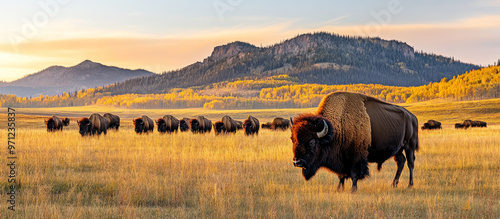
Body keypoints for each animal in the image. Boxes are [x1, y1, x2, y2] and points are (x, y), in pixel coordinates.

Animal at [292, 92, 420, 192]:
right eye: (293, 140)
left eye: (312, 142)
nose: (297, 162)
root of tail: (412, 117)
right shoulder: (342, 160)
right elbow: (341, 176)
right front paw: (339, 189)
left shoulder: (357, 158)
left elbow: (354, 174)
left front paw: (353, 190)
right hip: (398, 150)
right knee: (401, 161)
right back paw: (393, 184)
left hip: (409, 146)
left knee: (410, 163)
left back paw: (410, 185)